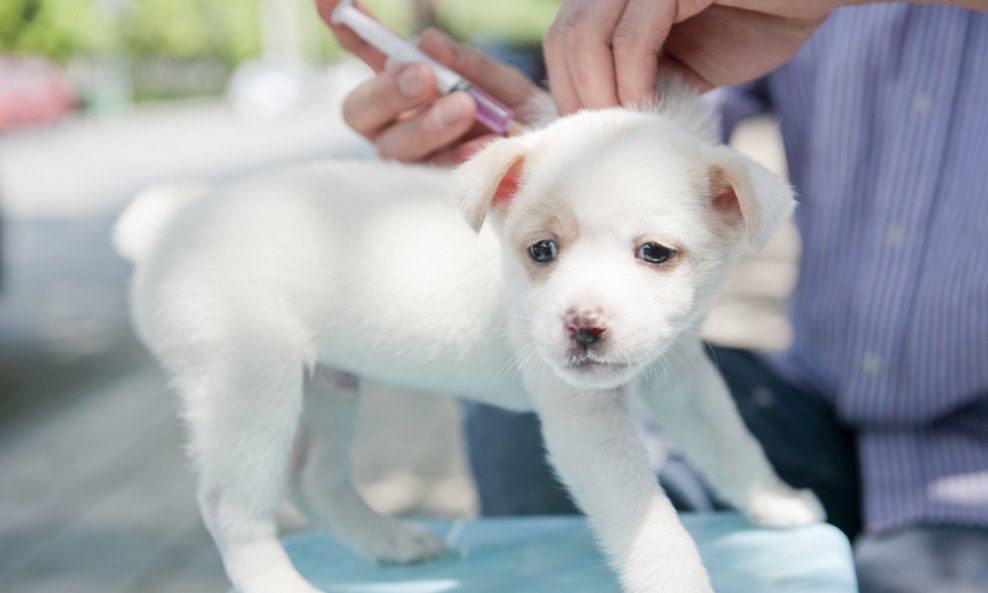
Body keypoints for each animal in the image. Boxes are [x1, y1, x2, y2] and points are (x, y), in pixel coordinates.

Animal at [116, 82, 824, 592]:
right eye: (542, 250)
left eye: (654, 252)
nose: (582, 326)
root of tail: (171, 227)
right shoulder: (586, 423)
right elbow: (654, 526)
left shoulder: (682, 377)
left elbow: (731, 443)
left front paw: (774, 501)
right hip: (249, 384)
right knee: (231, 508)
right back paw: (283, 585)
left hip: (327, 386)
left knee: (314, 480)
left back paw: (390, 542)